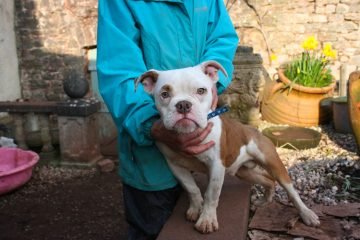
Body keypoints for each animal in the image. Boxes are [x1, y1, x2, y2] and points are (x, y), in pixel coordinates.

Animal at [134, 61, 320, 233]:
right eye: (164, 94)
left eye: (201, 90)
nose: (183, 105)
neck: (187, 134)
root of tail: (254, 130)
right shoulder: (175, 166)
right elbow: (191, 188)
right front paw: (196, 208)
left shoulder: (216, 166)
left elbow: (211, 194)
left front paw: (206, 220)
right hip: (244, 172)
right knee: (268, 180)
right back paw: (263, 201)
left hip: (273, 163)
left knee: (290, 190)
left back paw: (307, 215)